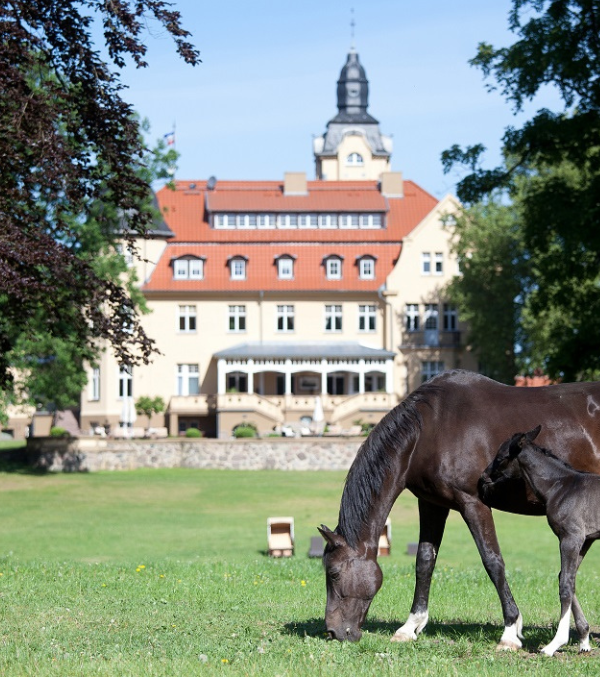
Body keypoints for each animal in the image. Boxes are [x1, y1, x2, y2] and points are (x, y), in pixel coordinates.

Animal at [486, 428, 596, 656]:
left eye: (500, 457)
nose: (484, 476)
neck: (561, 487)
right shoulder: (584, 540)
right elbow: (567, 578)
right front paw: (584, 640)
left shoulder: (570, 537)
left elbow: (565, 585)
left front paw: (554, 644)